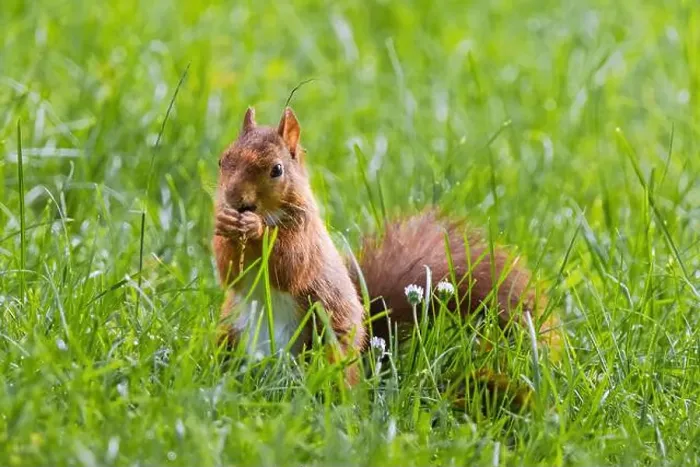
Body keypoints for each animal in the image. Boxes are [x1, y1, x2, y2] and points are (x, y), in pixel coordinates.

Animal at [212, 106, 563, 389]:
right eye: (222, 160)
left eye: (277, 170)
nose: (235, 200)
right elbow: (231, 273)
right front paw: (226, 223)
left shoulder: (304, 237)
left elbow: (289, 266)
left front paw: (255, 228)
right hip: (231, 333)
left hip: (327, 340)